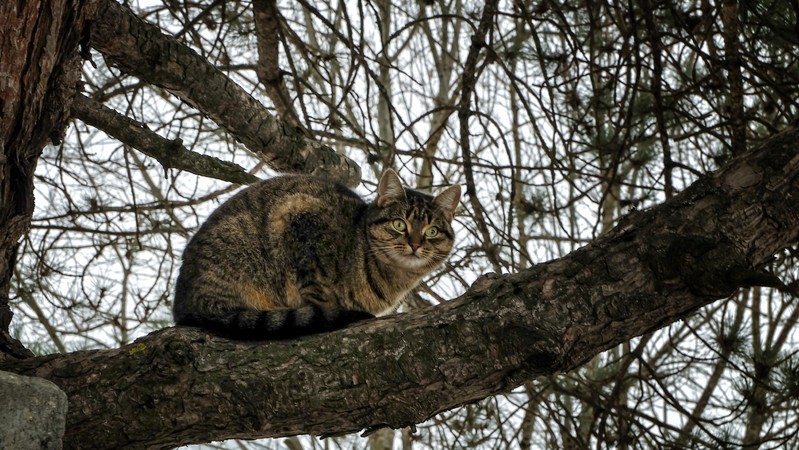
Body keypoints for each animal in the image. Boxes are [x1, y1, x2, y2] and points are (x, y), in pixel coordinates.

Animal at [175, 171, 462, 340]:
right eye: (399, 224)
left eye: (432, 231)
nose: (415, 244)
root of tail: (183, 304)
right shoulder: (302, 219)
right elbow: (315, 288)